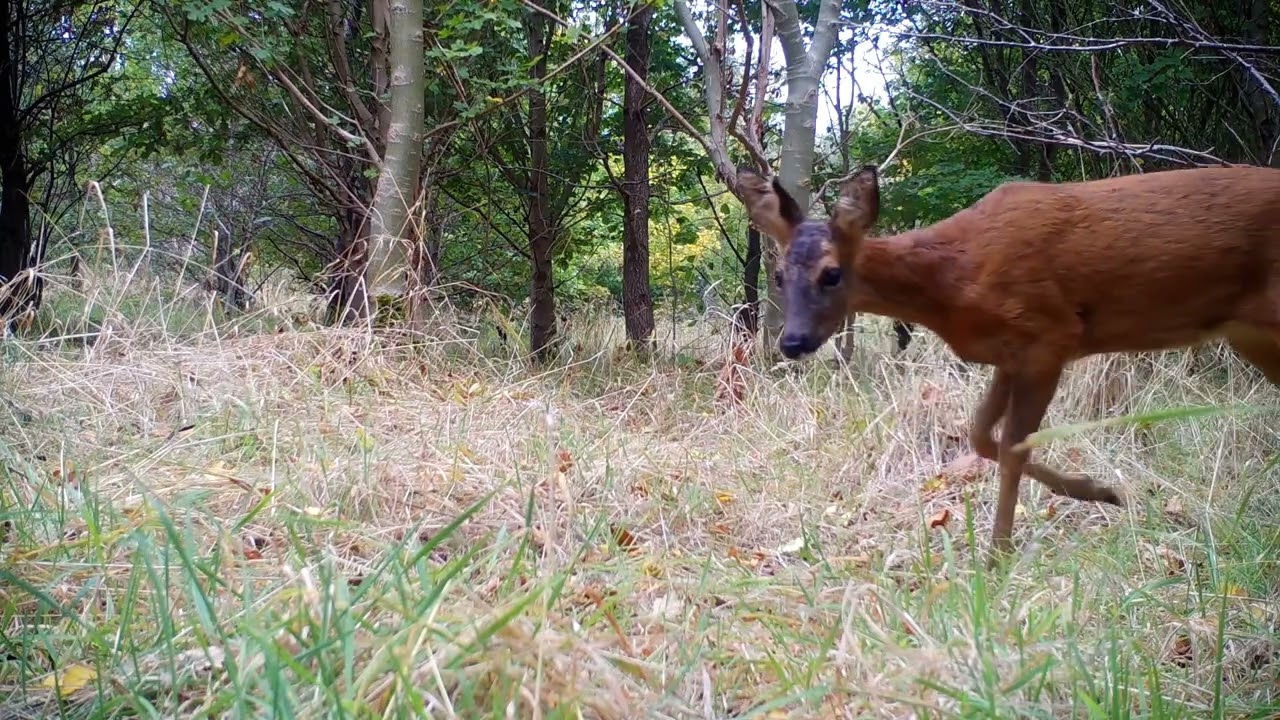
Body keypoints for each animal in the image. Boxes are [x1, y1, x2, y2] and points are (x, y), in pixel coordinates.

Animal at [736, 163, 1280, 560]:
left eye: (831, 274)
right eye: (779, 276)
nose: (793, 342)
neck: (953, 281)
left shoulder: (1049, 336)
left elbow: (1014, 446)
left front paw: (999, 553)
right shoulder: (1007, 354)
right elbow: (980, 434)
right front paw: (1098, 489)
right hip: (1254, 336)